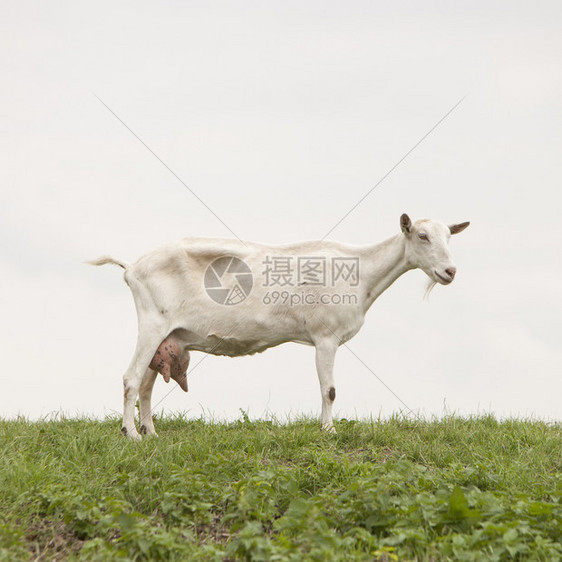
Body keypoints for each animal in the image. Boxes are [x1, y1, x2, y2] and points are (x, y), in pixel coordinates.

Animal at [91, 212, 468, 436]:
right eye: (421, 236)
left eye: (449, 237)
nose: (450, 271)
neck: (362, 272)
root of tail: (131, 266)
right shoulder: (326, 336)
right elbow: (329, 389)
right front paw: (329, 432)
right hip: (151, 324)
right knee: (131, 379)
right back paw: (132, 435)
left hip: (168, 337)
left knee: (146, 385)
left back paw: (151, 433)